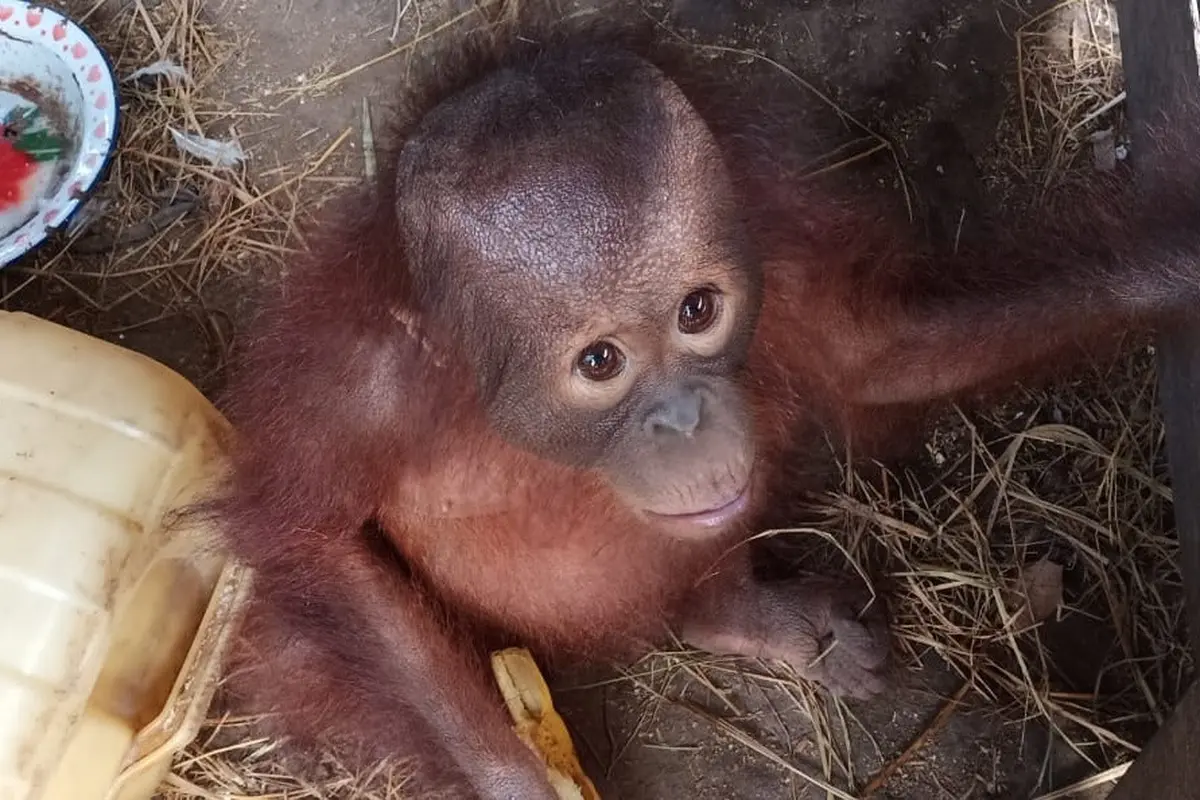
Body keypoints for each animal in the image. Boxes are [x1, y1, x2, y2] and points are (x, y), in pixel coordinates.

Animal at [197, 9, 1200, 800]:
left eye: (698, 311)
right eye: (600, 361)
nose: (682, 420)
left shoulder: (773, 247)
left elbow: (876, 354)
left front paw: (1171, 268)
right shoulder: (357, 388)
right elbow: (318, 548)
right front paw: (519, 784)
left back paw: (753, 619)